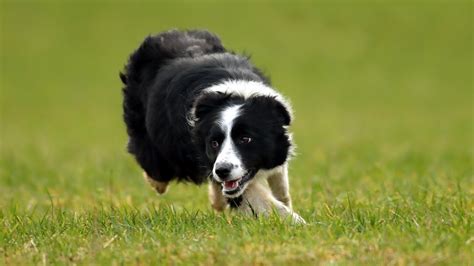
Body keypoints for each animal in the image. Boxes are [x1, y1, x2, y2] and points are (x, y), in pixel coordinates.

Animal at [120, 29, 306, 224]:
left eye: (246, 139)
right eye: (214, 143)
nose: (222, 171)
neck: (237, 92)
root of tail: (165, 34)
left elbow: (280, 184)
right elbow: (259, 197)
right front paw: (296, 222)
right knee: (155, 165)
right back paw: (159, 183)